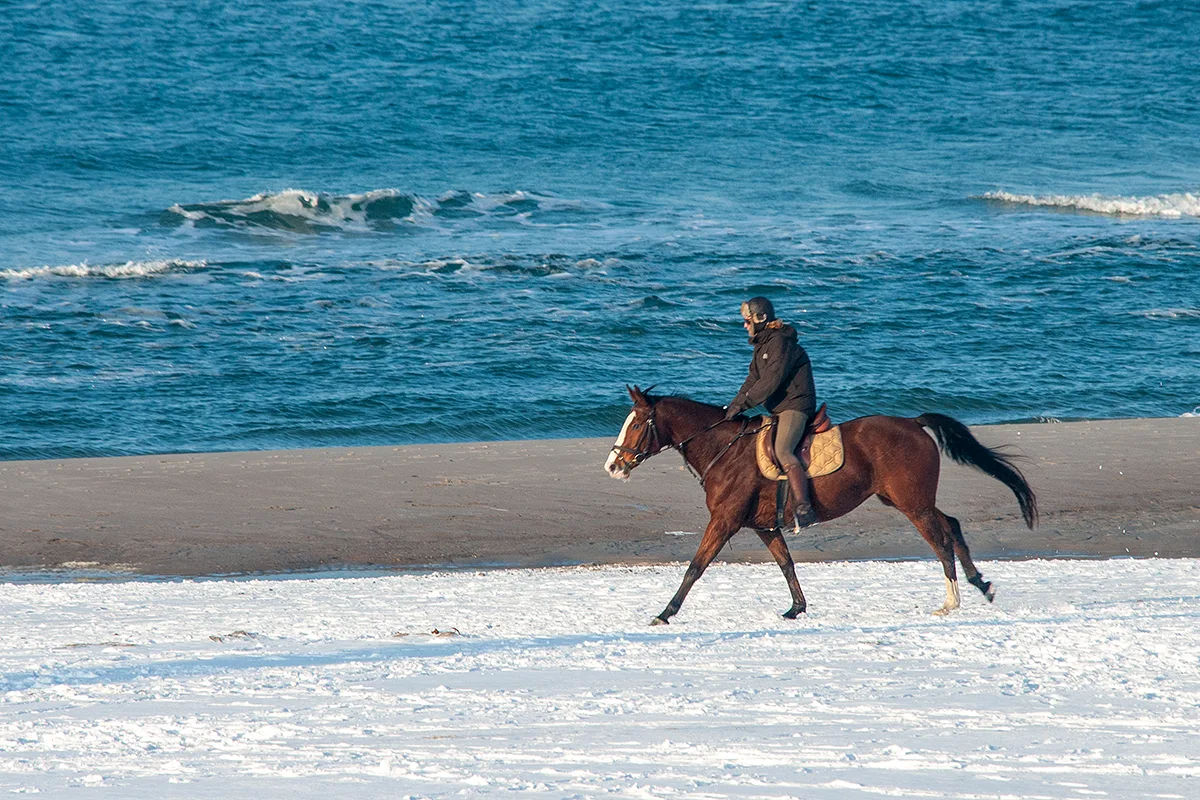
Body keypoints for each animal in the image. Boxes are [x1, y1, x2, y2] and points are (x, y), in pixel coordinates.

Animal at [604, 388, 1036, 623]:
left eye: (637, 423)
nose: (612, 466)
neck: (724, 449)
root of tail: (913, 422)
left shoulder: (725, 520)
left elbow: (695, 567)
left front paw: (665, 613)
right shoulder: (763, 526)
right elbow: (786, 564)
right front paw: (797, 608)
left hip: (912, 503)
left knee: (940, 539)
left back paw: (952, 600)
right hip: (905, 499)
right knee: (953, 525)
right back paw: (980, 584)